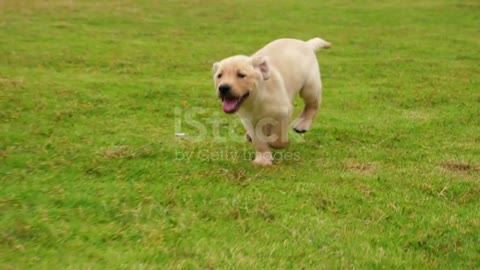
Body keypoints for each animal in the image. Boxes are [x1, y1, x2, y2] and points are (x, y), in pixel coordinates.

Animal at [214, 37, 330, 166]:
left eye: (241, 75)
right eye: (219, 75)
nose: (223, 87)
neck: (256, 98)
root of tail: (306, 44)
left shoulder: (283, 112)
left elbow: (277, 136)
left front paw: (278, 143)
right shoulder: (248, 120)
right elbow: (259, 141)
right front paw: (262, 160)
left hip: (310, 87)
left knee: (312, 105)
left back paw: (301, 125)